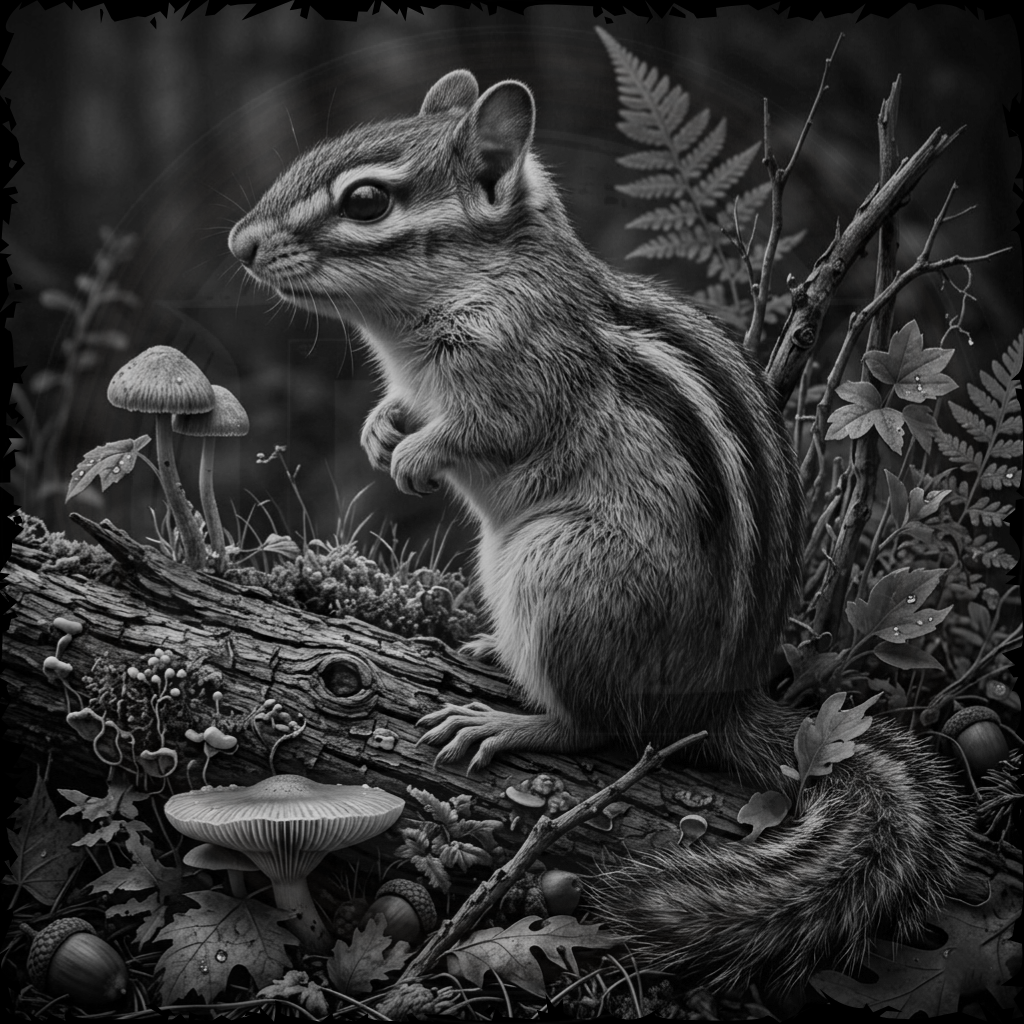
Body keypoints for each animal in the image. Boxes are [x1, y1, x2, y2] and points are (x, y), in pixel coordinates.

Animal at [228, 70, 972, 993]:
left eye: (365, 201)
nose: (239, 244)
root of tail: (721, 700)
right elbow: (401, 408)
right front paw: (381, 430)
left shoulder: (524, 370)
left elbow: (489, 430)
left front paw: (416, 455)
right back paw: (491, 654)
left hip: (556, 574)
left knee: (605, 728)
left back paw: (509, 723)